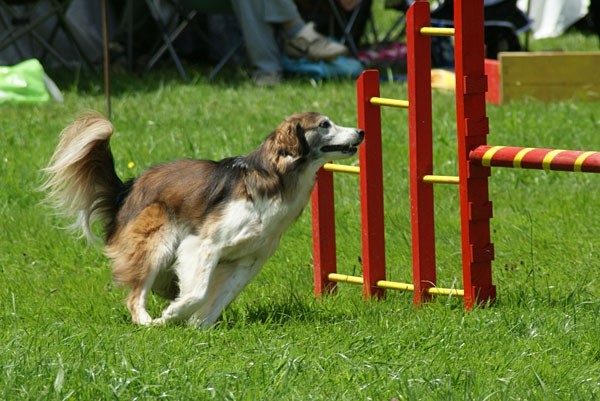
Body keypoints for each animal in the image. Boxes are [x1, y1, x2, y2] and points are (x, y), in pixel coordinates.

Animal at [43, 111, 360, 326]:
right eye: (324, 125)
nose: (361, 132)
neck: (279, 179)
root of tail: (128, 187)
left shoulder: (249, 260)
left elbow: (222, 296)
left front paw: (199, 326)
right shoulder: (203, 245)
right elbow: (199, 291)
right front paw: (173, 315)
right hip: (158, 240)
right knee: (135, 296)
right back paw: (147, 322)